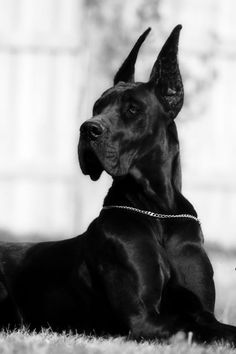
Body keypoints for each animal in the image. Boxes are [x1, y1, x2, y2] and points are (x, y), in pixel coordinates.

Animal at [0, 24, 236, 342]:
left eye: (133, 109)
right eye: (97, 107)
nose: (87, 129)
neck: (158, 212)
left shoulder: (202, 310)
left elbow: (215, 325)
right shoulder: (141, 319)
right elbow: (191, 328)